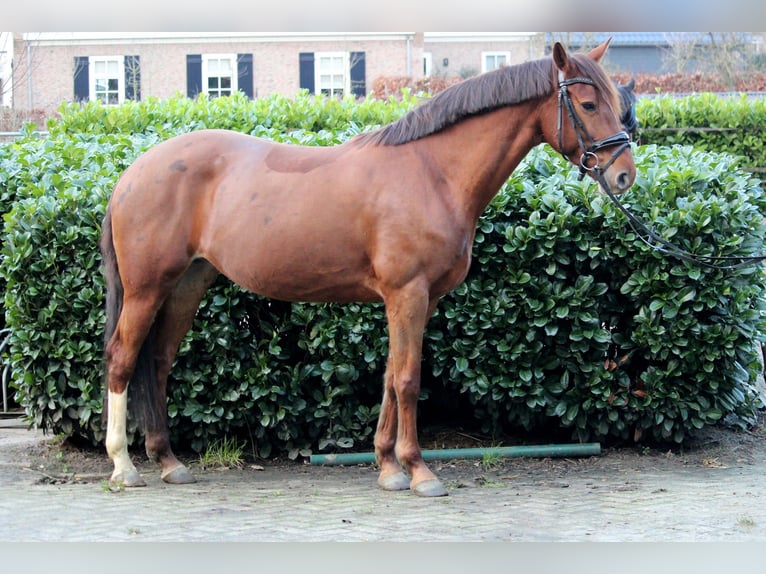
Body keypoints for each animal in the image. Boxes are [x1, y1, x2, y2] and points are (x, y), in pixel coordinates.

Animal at [102, 40, 636, 500]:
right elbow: (408, 380)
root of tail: (132, 174)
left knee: (157, 362)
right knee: (122, 359)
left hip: (186, 286)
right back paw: (124, 466)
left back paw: (168, 461)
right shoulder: (408, 293)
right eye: (589, 104)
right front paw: (419, 472)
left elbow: (389, 376)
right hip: (147, 289)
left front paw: (387, 467)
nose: (624, 174)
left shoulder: (419, 299)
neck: (432, 172)